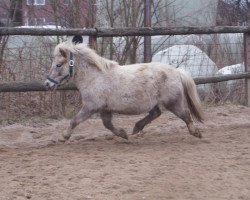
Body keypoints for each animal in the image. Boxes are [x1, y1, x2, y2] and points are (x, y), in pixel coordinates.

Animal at [45, 36, 204, 142]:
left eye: (58, 64)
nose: (47, 84)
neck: (94, 77)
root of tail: (177, 71)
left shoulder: (91, 107)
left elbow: (74, 121)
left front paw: (63, 137)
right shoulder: (105, 109)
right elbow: (107, 125)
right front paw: (123, 134)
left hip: (173, 102)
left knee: (185, 115)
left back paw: (196, 133)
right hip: (155, 103)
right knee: (156, 113)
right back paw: (137, 128)